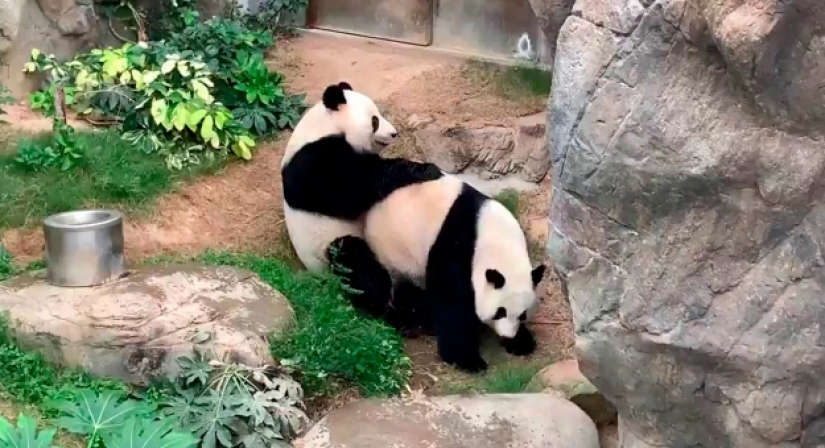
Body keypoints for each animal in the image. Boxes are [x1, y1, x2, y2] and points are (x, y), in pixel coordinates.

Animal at [280, 82, 443, 319]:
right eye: (374, 121)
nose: (394, 133)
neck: (326, 126)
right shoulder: (313, 162)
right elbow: (350, 193)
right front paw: (425, 169)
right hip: (327, 247)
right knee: (355, 262)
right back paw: (386, 303)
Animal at [360, 174, 546, 373]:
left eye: (523, 315)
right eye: (499, 312)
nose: (507, 336)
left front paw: (521, 342)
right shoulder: (456, 251)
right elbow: (453, 305)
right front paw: (468, 360)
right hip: (394, 255)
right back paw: (411, 323)